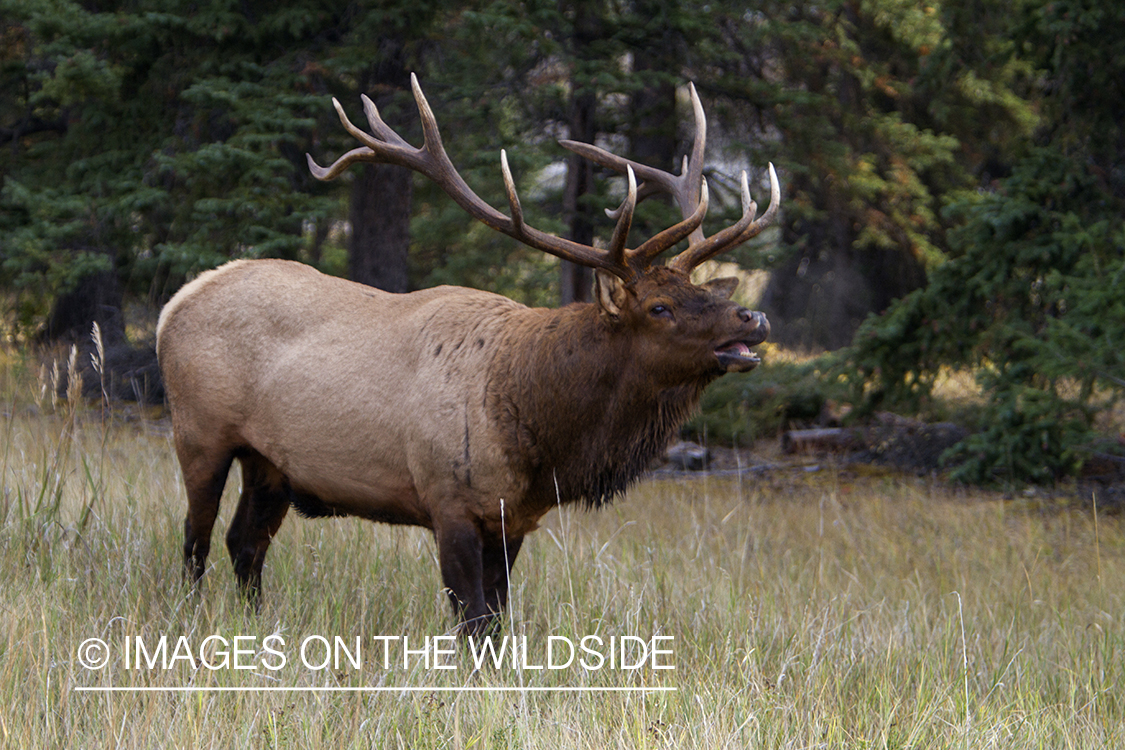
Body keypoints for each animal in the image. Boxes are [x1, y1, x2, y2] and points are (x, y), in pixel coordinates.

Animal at [154, 74, 778, 634]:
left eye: (702, 292)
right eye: (659, 307)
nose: (752, 317)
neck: (541, 431)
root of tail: (175, 303)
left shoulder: (514, 521)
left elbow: (499, 621)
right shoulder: (447, 499)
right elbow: (473, 621)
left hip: (272, 464)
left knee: (244, 543)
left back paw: (256, 626)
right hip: (200, 432)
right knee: (195, 539)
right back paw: (189, 623)